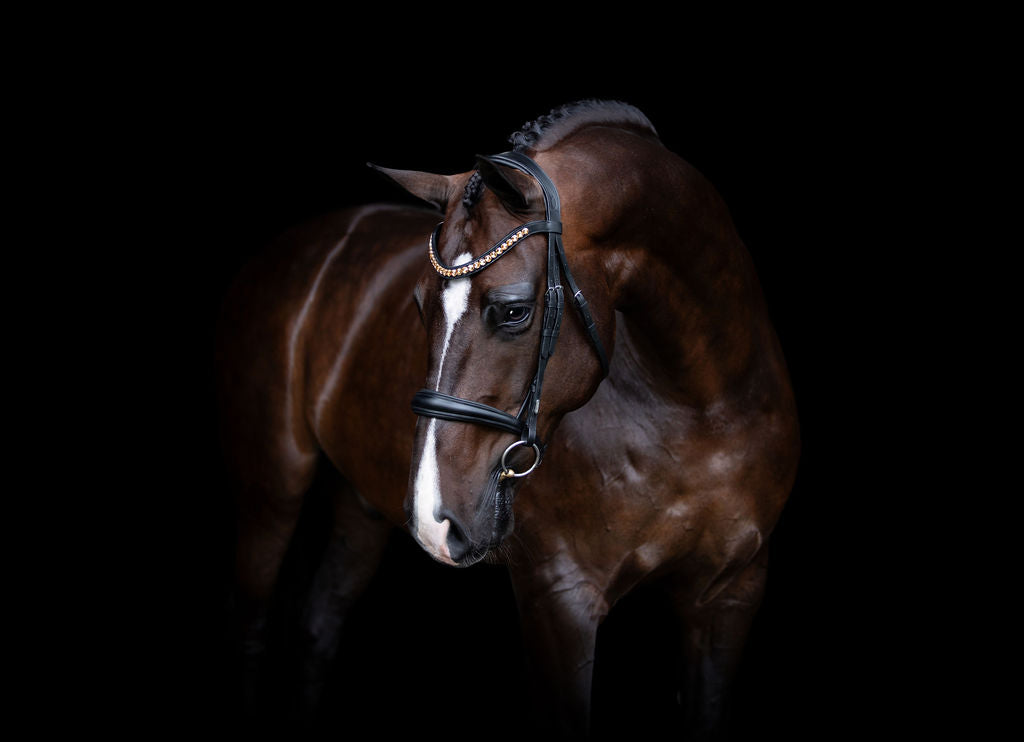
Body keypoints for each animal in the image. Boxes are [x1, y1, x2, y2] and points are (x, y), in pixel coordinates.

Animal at [216, 99, 800, 739]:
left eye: (514, 311)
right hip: (273, 486)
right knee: (251, 626)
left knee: (316, 627)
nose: (435, 518)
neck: (701, 407)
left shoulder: (730, 594)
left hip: (360, 505)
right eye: (418, 305)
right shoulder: (561, 598)